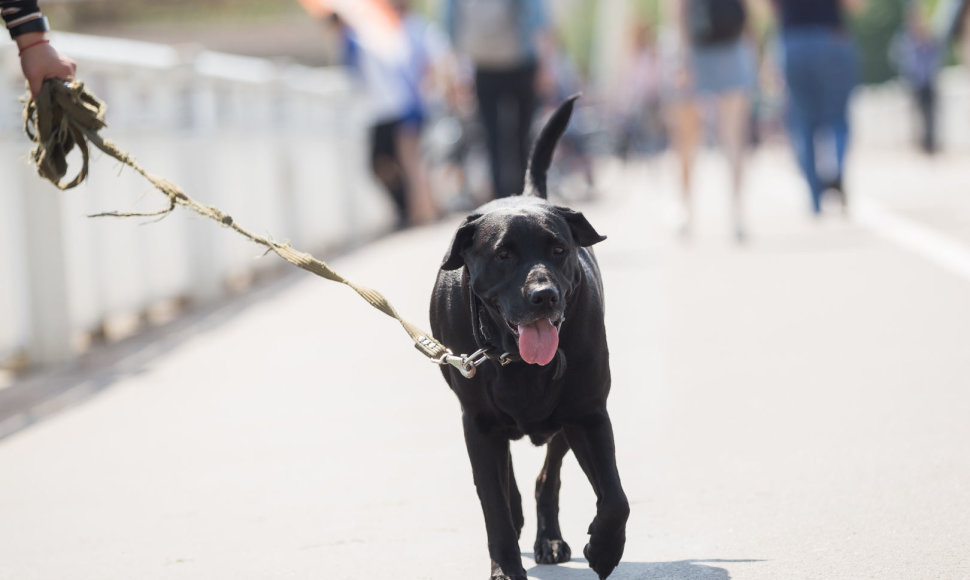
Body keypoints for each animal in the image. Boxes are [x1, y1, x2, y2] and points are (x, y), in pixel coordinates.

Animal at [430, 97, 628, 576]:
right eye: (503, 255)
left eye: (559, 249)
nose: (544, 296)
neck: (515, 360)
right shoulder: (478, 425)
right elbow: (494, 505)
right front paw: (504, 567)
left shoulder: (589, 413)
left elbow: (615, 499)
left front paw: (604, 549)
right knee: (509, 488)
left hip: (562, 422)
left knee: (546, 477)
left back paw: (550, 539)